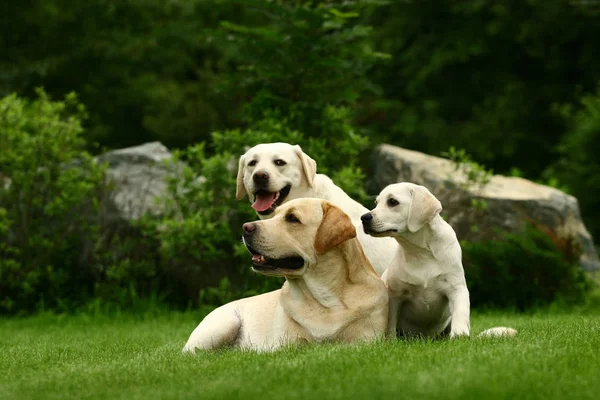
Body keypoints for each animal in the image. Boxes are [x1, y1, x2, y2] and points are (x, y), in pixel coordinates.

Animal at [183, 198, 390, 352]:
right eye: (274, 215)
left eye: (292, 218)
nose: (245, 227)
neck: (325, 299)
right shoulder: (286, 346)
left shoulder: (366, 340)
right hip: (223, 326)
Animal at [360, 183, 516, 340]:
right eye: (376, 202)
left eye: (392, 202)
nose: (364, 217)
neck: (420, 252)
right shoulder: (395, 293)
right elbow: (390, 322)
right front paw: (391, 341)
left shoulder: (456, 287)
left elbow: (461, 311)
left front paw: (459, 335)